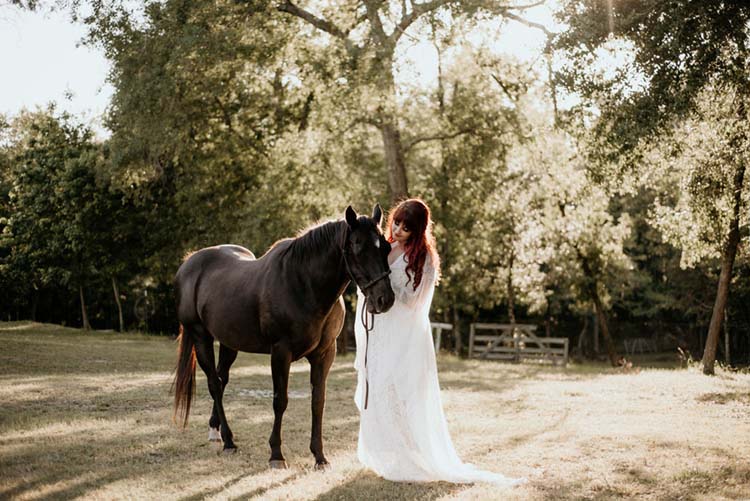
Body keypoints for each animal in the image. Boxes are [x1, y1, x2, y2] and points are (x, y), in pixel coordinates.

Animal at [173, 204, 396, 468]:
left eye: (386, 247)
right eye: (358, 248)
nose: (385, 299)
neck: (303, 284)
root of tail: (189, 263)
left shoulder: (324, 354)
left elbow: (317, 402)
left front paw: (319, 456)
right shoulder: (281, 352)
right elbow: (280, 401)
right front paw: (276, 454)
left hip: (229, 343)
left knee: (222, 378)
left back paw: (215, 431)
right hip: (201, 337)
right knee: (214, 385)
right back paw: (228, 441)